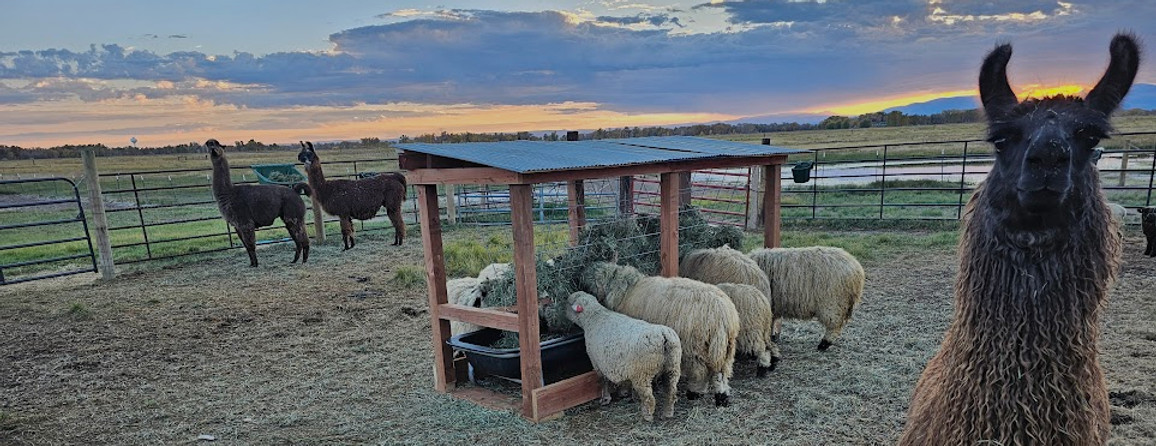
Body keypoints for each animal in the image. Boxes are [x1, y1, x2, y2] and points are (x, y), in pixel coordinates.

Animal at [565, 291, 681, 421]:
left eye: (568, 303)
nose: (564, 312)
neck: (594, 317)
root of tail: (663, 335)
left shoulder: (598, 363)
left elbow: (603, 381)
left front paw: (605, 398)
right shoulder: (620, 364)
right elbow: (624, 381)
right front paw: (625, 393)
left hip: (643, 373)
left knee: (649, 398)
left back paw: (647, 415)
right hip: (673, 367)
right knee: (671, 392)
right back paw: (667, 413)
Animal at [579, 261, 739, 407]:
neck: (626, 292)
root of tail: (723, 315)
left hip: (696, 347)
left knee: (701, 372)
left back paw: (695, 393)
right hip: (725, 348)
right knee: (721, 373)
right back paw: (722, 397)